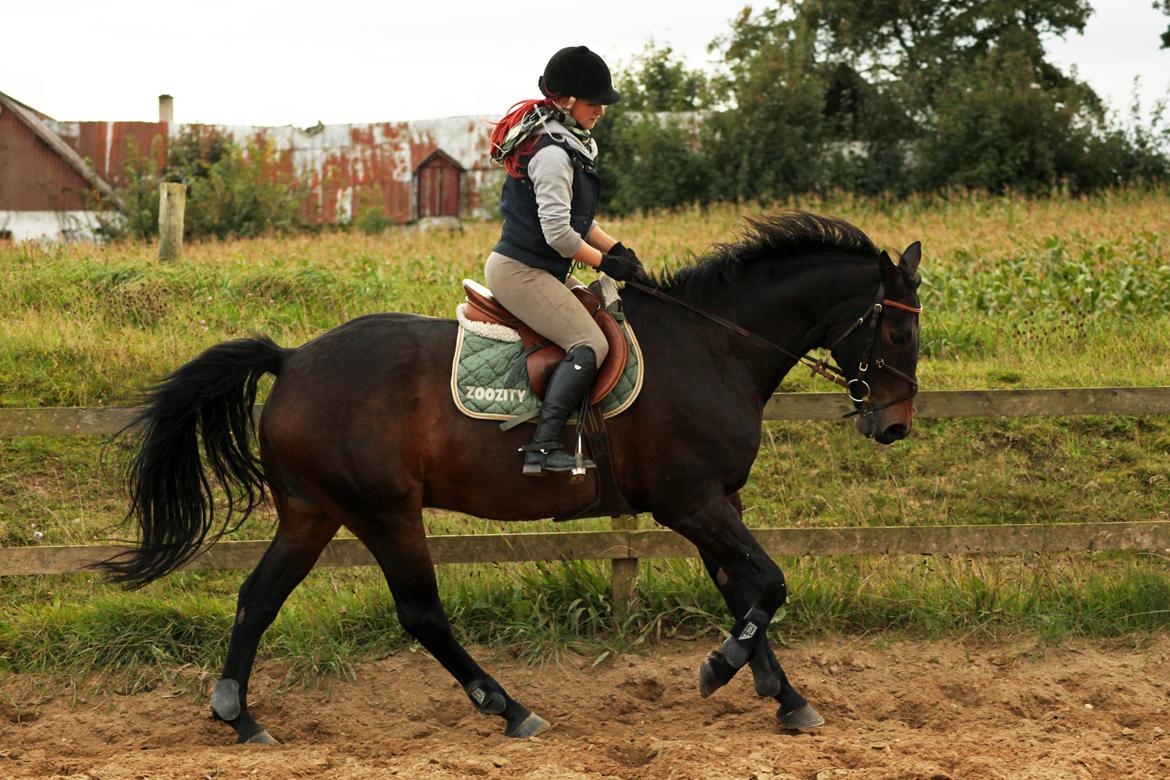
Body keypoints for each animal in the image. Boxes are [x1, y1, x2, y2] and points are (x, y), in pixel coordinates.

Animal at [98, 211, 921, 743]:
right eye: (896, 327)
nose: (895, 426)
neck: (713, 345)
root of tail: (293, 359)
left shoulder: (716, 502)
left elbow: (746, 589)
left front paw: (784, 697)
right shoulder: (691, 503)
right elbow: (769, 583)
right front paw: (723, 669)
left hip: (313, 511)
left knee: (258, 598)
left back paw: (239, 717)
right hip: (385, 512)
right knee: (421, 615)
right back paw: (510, 709)